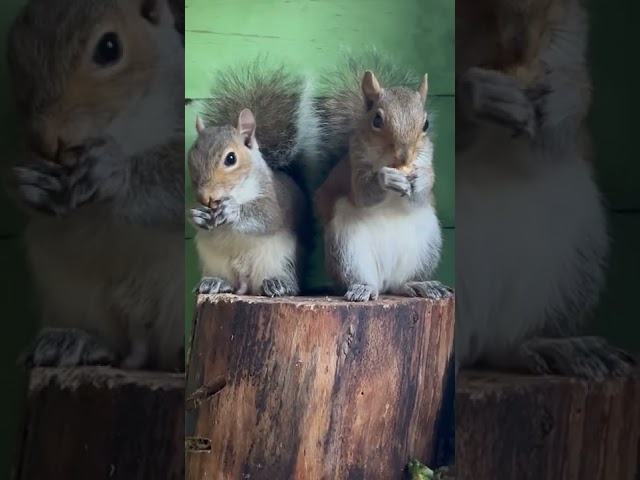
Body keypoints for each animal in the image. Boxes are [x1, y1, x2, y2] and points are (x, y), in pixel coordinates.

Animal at [5, 0, 185, 372]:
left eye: (109, 48)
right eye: (13, 58)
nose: (48, 142)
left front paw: (115, 173)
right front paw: (27, 182)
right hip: (71, 288)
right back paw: (77, 342)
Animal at [185, 62, 318, 296]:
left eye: (231, 158)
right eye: (191, 157)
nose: (205, 197)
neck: (238, 189)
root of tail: (245, 281)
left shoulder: (274, 198)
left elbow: (268, 215)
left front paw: (233, 210)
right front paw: (196, 214)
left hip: (282, 260)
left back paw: (279, 284)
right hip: (214, 261)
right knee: (228, 281)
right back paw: (215, 282)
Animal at [310, 50, 450, 302]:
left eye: (426, 124)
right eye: (377, 120)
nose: (404, 157)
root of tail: (385, 281)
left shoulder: (427, 164)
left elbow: (423, 193)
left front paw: (421, 180)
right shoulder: (354, 168)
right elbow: (364, 194)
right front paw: (386, 179)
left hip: (425, 247)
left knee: (401, 283)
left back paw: (419, 285)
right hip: (347, 249)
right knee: (362, 278)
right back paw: (363, 288)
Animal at [456, 0, 636, 378]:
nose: (520, 44)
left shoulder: (570, 38)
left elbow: (569, 110)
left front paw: (562, 98)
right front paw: (480, 93)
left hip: (572, 255)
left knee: (501, 346)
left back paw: (546, 347)